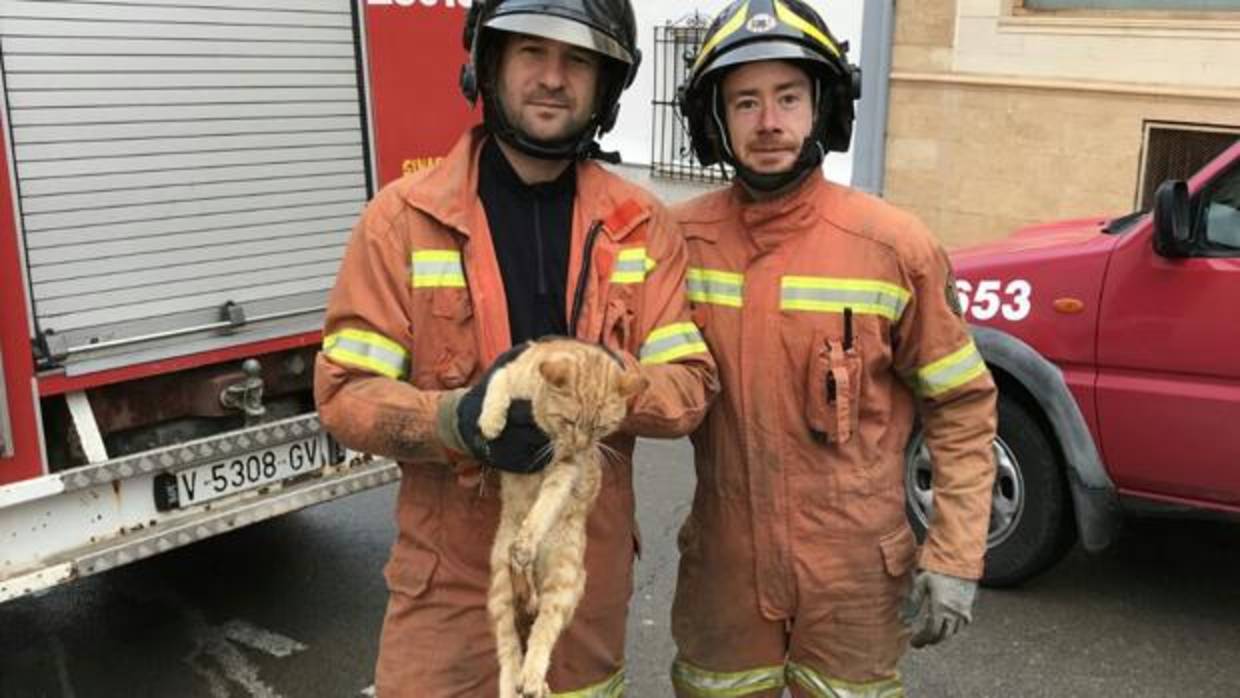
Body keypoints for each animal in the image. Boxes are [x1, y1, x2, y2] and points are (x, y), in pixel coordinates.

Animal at [476, 339, 649, 698]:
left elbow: (545, 506)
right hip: (500, 588)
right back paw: (513, 680)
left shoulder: (567, 469)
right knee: (508, 646)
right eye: (570, 421)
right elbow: (496, 386)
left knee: (543, 630)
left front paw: (530, 534)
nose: (582, 446)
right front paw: (491, 421)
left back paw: (533, 678)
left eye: (599, 427)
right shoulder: (508, 368)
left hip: (564, 579)